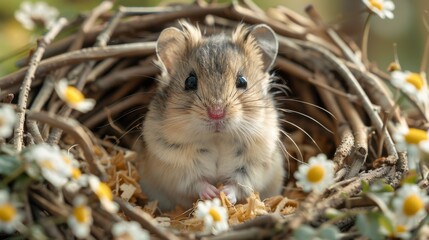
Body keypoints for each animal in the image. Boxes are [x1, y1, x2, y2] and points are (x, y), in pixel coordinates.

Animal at [138, 22, 284, 210]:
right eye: (190, 81)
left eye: (242, 81)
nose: (216, 113)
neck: (217, 138)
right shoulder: (174, 163)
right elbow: (195, 181)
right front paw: (212, 193)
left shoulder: (254, 164)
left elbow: (239, 184)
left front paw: (224, 194)